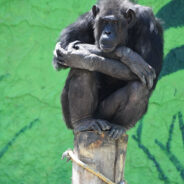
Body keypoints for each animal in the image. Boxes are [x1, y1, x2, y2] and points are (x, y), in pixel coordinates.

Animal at [52, 0, 162, 139]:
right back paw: (84, 122)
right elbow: (63, 50)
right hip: (69, 118)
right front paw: (130, 56)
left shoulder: (149, 25)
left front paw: (82, 56)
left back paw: (119, 126)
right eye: (104, 21)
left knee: (139, 88)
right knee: (82, 71)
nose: (107, 33)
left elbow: (153, 70)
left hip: (106, 116)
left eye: (114, 22)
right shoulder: (85, 20)